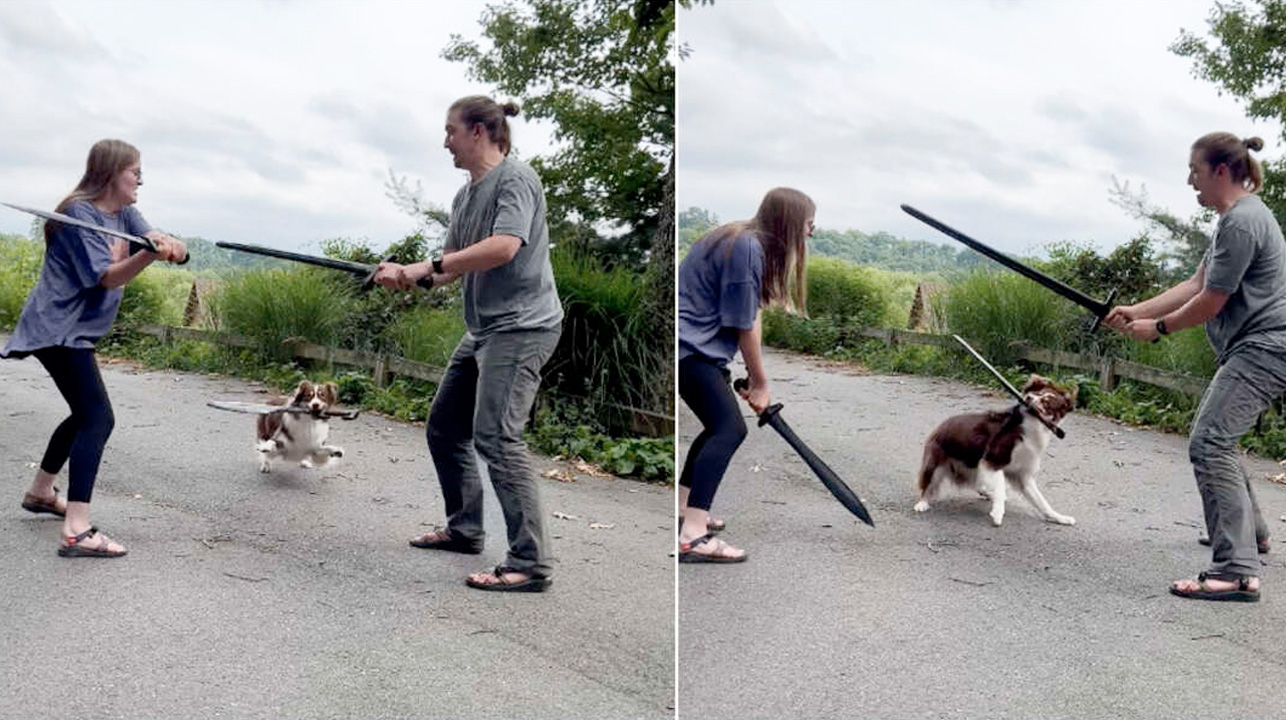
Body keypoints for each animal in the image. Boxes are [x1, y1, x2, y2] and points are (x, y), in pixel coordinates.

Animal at [910, 372, 1080, 527]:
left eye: (1047, 402)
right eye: (1035, 393)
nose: (1029, 397)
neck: (1031, 424)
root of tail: (940, 426)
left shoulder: (1023, 474)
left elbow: (1042, 502)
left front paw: (1059, 517)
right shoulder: (992, 460)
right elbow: (1000, 487)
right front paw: (998, 513)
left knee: (979, 484)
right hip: (936, 464)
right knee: (928, 485)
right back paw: (922, 504)